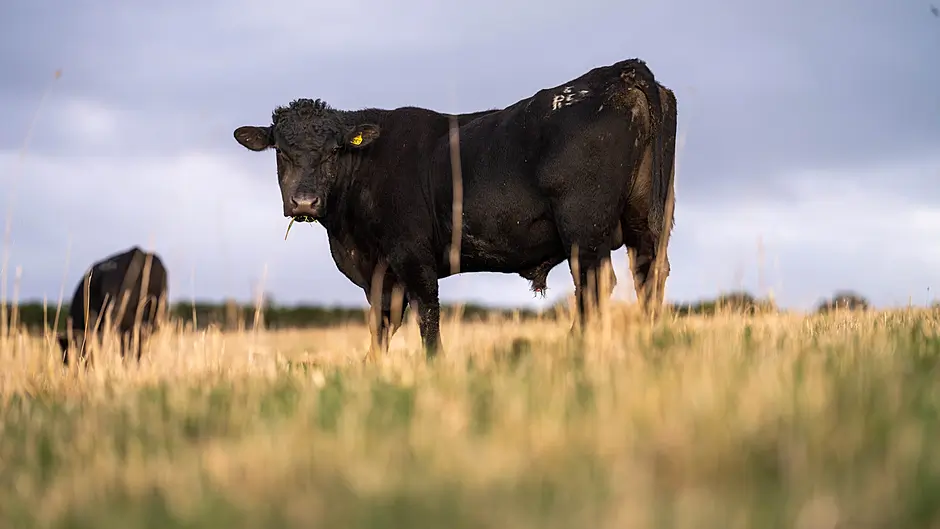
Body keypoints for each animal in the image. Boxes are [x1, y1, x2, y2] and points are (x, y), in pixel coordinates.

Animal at [232, 57, 677, 360]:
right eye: (281, 151)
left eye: (333, 151)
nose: (304, 201)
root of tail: (618, 71)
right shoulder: (382, 275)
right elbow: (381, 326)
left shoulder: (412, 257)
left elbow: (427, 319)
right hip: (647, 224)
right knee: (648, 278)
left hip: (584, 231)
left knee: (594, 287)